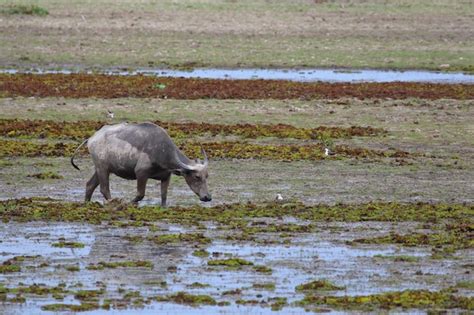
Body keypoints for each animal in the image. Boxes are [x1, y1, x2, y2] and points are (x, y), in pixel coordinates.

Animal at [70, 123, 211, 207]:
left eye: (207, 176)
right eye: (197, 177)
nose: (207, 197)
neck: (162, 150)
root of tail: (92, 138)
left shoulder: (166, 177)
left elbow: (164, 195)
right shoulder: (141, 173)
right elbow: (140, 194)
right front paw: (128, 203)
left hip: (102, 169)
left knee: (90, 185)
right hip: (102, 168)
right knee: (104, 189)